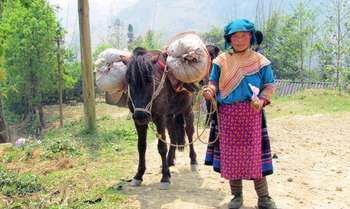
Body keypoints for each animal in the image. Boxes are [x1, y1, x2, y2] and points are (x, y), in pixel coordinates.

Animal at [125, 47, 197, 189]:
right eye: (129, 81)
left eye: (150, 80)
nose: (141, 115)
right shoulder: (139, 122)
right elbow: (141, 146)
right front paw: (138, 175)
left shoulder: (160, 118)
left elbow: (162, 147)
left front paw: (165, 178)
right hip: (170, 117)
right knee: (173, 136)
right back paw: (169, 162)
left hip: (187, 111)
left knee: (189, 132)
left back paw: (193, 161)